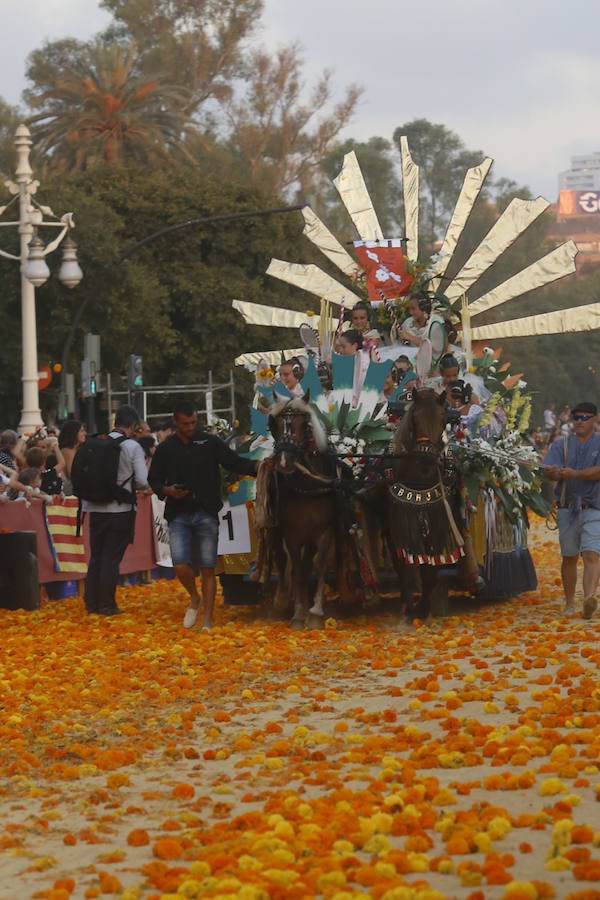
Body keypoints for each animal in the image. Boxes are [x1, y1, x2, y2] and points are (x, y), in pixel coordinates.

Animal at [255, 398, 350, 628]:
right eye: (274, 425)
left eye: (304, 425)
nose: (283, 462)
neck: (308, 486)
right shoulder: (292, 534)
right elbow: (296, 569)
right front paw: (299, 614)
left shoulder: (324, 531)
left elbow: (320, 565)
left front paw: (315, 612)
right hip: (278, 531)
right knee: (281, 559)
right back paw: (281, 601)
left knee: (307, 565)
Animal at [384, 390, 464, 624]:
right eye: (415, 419)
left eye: (443, 419)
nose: (426, 459)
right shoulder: (400, 523)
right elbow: (406, 565)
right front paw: (410, 607)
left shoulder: (438, 521)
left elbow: (431, 569)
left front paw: (423, 607)